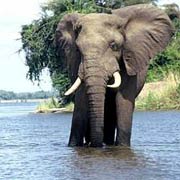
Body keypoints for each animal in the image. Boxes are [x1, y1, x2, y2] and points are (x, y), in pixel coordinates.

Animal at [54, 4, 174, 147]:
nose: (96, 145)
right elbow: (81, 101)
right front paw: (74, 146)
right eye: (77, 50)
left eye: (114, 46)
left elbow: (123, 101)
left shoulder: (130, 60)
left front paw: (122, 146)